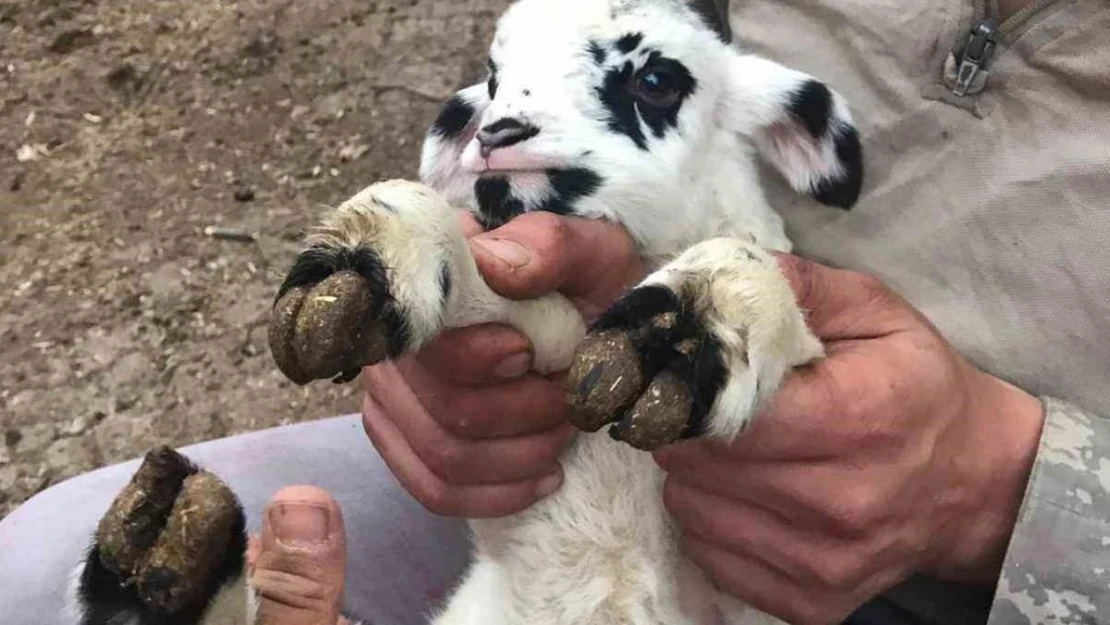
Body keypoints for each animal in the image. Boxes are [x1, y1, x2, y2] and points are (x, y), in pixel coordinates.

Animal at [71, 1, 865, 625]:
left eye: (656, 79)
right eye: (493, 75)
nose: (499, 134)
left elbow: (765, 291)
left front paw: (686, 331)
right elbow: (522, 303)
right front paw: (366, 264)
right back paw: (168, 553)